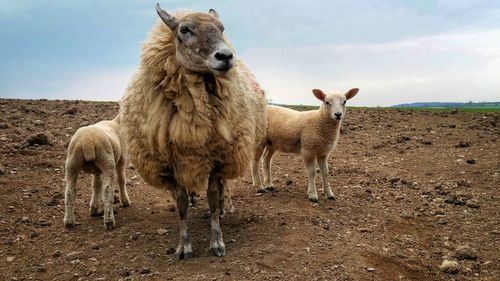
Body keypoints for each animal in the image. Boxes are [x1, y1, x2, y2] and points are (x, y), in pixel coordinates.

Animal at [119, 3, 268, 258]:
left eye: (222, 28)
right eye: (185, 29)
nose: (226, 56)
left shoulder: (218, 157)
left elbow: (213, 197)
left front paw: (217, 241)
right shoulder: (172, 163)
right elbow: (180, 205)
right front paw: (184, 246)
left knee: (222, 189)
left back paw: (223, 209)